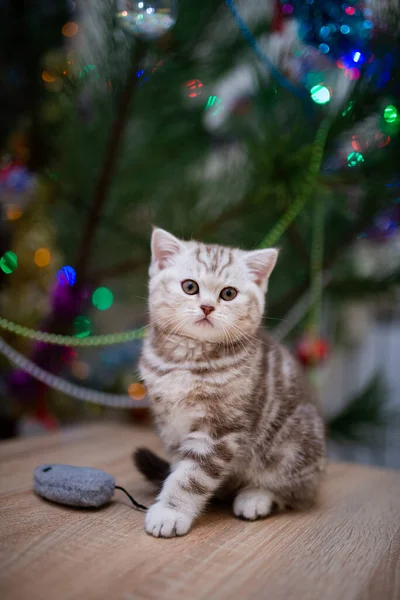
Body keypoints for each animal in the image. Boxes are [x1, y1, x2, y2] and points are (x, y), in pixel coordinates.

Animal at [134, 227, 324, 536]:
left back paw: (255, 497)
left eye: (229, 293)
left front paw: (170, 512)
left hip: (294, 445)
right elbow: (179, 465)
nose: (207, 307)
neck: (188, 359)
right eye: (190, 287)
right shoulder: (169, 423)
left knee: (295, 491)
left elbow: (192, 475)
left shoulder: (220, 430)